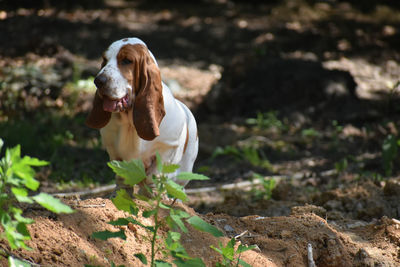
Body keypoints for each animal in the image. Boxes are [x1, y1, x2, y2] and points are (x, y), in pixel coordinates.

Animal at [87, 37, 200, 193]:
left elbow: (154, 178)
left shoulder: (166, 149)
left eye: (127, 60)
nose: (98, 81)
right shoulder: (114, 152)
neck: (129, 120)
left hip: (185, 170)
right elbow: (122, 178)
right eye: (104, 59)